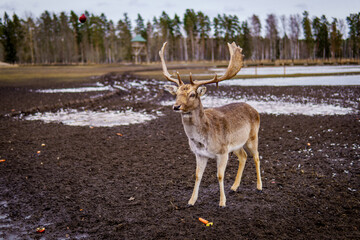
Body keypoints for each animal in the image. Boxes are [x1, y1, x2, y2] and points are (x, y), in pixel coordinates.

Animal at [160, 41, 262, 206]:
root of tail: (255, 110)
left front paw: (222, 202)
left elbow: (219, 176)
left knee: (257, 156)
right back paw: (234, 187)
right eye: (176, 94)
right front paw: (191, 200)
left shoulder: (222, 151)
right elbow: (197, 175)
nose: (176, 106)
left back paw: (259, 186)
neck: (203, 139)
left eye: (192, 94)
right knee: (243, 156)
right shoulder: (200, 154)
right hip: (236, 144)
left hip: (253, 136)